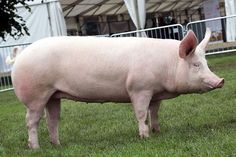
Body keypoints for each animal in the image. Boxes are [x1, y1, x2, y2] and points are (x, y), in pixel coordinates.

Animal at [11, 27, 224, 149]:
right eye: (196, 64)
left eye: (206, 63)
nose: (220, 80)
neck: (167, 64)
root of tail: (21, 55)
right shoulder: (139, 88)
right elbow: (141, 113)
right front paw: (145, 137)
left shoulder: (155, 93)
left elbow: (154, 112)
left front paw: (157, 131)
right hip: (35, 95)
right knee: (31, 121)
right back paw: (35, 148)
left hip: (53, 95)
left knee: (52, 120)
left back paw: (57, 145)